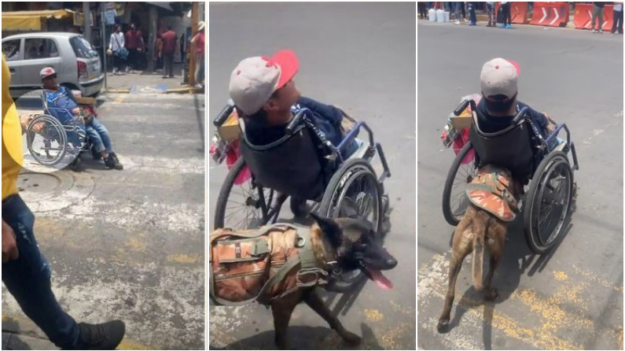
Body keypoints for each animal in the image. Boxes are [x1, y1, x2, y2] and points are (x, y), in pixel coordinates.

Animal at [268, 213, 394, 350]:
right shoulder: (282, 306)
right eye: (362, 242)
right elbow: (281, 341)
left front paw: (347, 337)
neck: (317, 249)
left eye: (375, 237)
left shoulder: (310, 296)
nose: (394, 262)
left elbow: (332, 317)